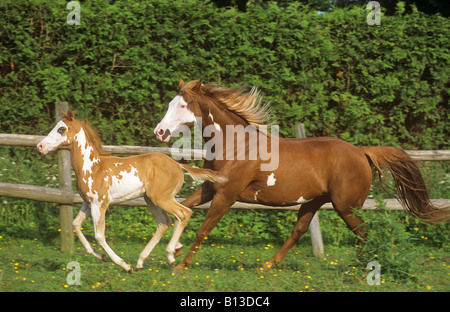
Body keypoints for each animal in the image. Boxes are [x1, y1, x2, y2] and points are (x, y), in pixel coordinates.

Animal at [37, 108, 227, 272]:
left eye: (61, 129)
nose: (40, 146)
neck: (93, 167)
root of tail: (178, 165)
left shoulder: (100, 204)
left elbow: (99, 235)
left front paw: (123, 265)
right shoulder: (87, 203)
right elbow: (76, 224)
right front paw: (100, 256)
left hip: (161, 198)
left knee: (183, 213)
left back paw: (170, 257)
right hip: (151, 200)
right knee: (164, 223)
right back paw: (141, 262)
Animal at [154, 78, 450, 270]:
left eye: (183, 105)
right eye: (170, 103)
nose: (160, 131)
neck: (236, 144)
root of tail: (361, 152)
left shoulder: (227, 193)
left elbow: (204, 228)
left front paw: (181, 265)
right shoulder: (210, 188)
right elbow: (182, 209)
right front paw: (170, 251)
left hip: (346, 205)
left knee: (362, 231)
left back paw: (359, 269)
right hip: (314, 201)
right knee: (299, 230)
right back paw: (268, 265)